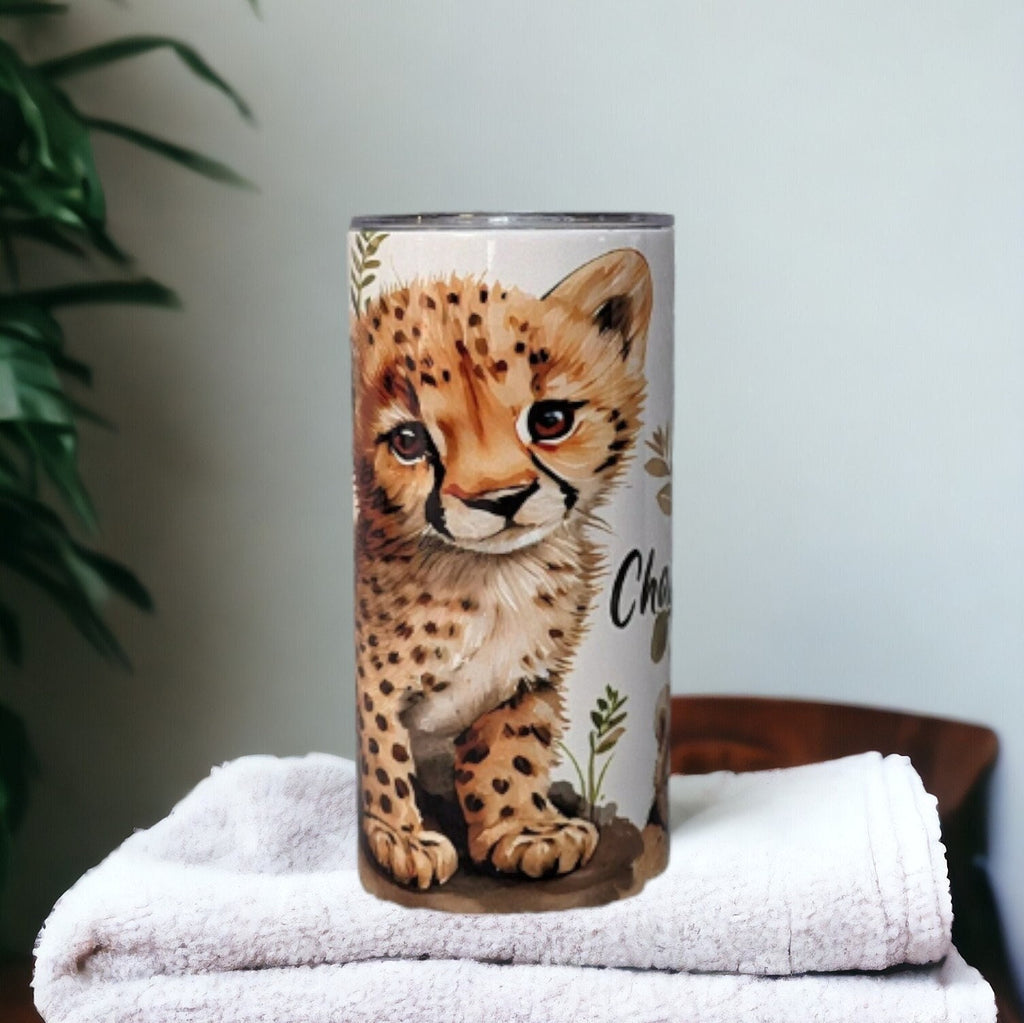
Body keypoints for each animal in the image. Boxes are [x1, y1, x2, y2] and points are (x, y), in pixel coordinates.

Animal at [351, 247, 652, 889]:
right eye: (408, 441)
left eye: (551, 420)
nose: (503, 499)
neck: (496, 577)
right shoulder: (374, 686)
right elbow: (381, 749)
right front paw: (399, 837)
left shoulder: (520, 682)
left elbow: (507, 755)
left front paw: (525, 831)